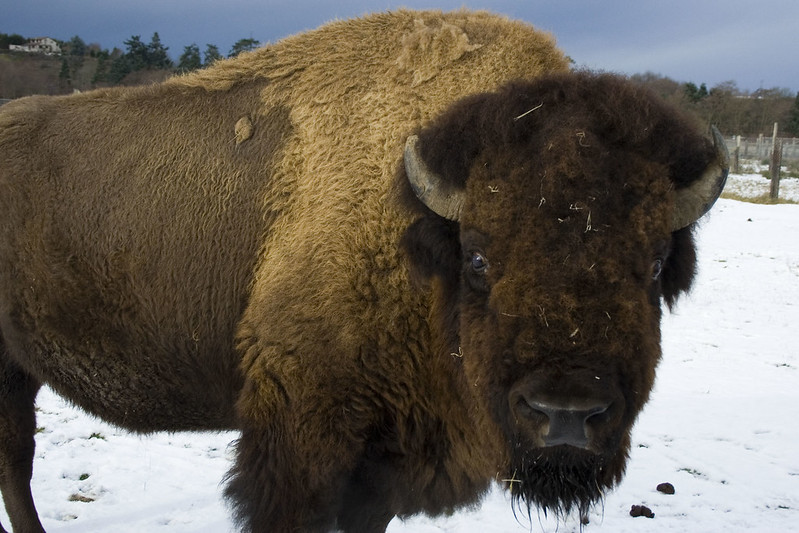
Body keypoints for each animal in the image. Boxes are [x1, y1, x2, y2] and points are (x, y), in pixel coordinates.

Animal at [0, 9, 727, 533]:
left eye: (653, 261)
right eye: (479, 256)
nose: (566, 415)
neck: (416, 229)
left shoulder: (385, 458)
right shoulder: (299, 438)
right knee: (16, 458)